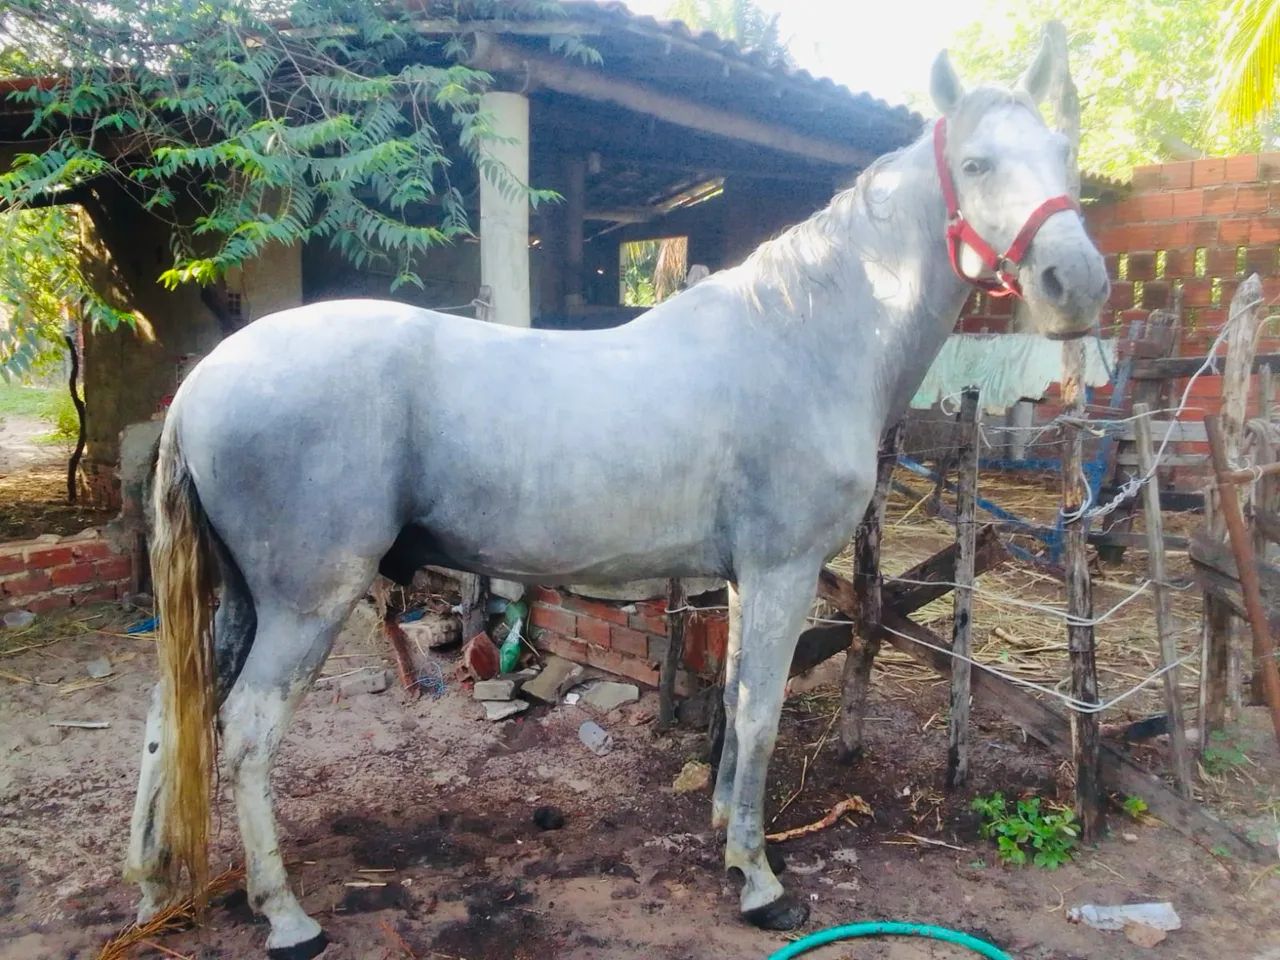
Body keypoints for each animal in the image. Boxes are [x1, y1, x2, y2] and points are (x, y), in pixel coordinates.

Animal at [125, 39, 1108, 958]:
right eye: (976, 164)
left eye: (1064, 152)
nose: (1080, 286)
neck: (800, 339)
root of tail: (206, 379)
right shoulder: (785, 571)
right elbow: (761, 713)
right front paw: (760, 882)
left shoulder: (748, 578)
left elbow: (737, 698)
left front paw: (725, 830)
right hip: (307, 603)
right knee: (247, 731)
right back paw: (285, 915)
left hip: (242, 602)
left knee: (173, 720)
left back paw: (155, 884)